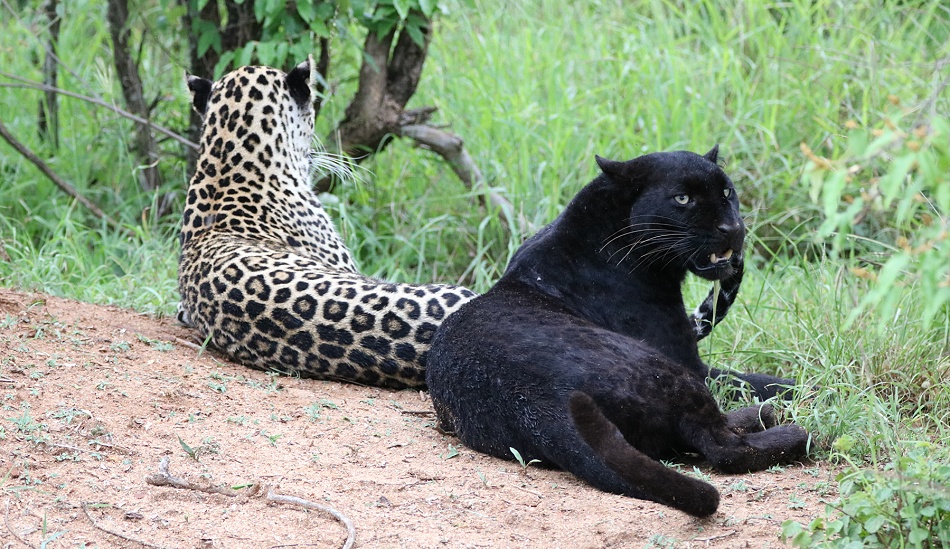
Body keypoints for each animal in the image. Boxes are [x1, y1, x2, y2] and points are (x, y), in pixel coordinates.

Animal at [426, 147, 808, 516]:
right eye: (683, 199)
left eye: (727, 192)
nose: (732, 226)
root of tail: (542, 407)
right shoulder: (689, 361)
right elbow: (759, 381)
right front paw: (810, 388)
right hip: (669, 372)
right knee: (722, 446)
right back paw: (791, 431)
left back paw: (759, 415)